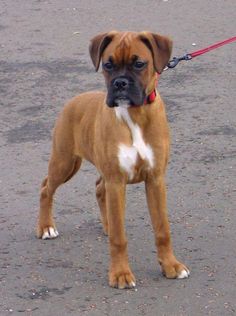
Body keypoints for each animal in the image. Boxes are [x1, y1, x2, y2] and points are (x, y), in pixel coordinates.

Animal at [37, 30, 190, 288]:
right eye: (108, 65)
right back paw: (46, 227)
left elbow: (162, 229)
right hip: (65, 162)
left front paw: (171, 266)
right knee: (46, 187)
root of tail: (74, 100)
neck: (135, 115)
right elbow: (120, 238)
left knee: (99, 188)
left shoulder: (155, 179)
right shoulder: (117, 181)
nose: (120, 83)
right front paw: (120, 274)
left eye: (139, 64)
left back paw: (106, 223)